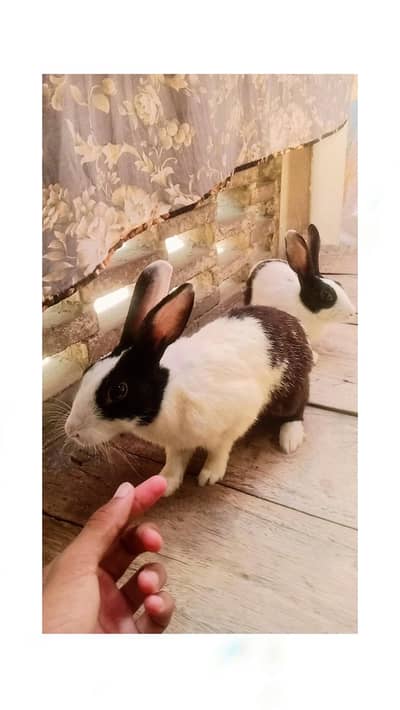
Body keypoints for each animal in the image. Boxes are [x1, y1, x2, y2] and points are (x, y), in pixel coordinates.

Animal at [65, 260, 313, 496]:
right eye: (87, 370)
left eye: (118, 390)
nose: (71, 431)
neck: (168, 394)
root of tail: (294, 324)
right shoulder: (177, 444)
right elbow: (175, 460)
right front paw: (166, 483)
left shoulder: (237, 417)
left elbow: (220, 448)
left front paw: (210, 474)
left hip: (290, 389)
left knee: (297, 408)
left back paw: (290, 439)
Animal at [244, 224, 356, 359]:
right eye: (326, 294)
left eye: (339, 284)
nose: (351, 312)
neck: (308, 310)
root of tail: (259, 264)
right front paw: (314, 357)